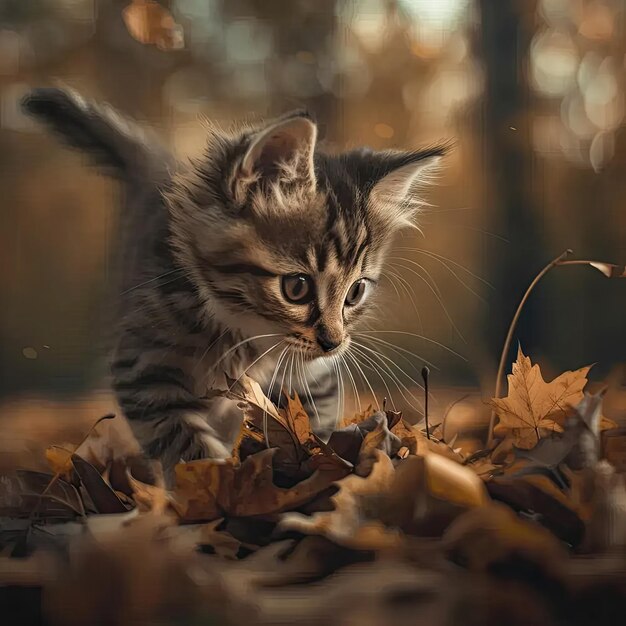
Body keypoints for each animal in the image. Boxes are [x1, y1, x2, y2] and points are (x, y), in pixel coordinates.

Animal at [23, 88, 444, 472]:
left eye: (355, 292)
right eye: (297, 288)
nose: (333, 343)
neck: (245, 341)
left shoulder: (313, 382)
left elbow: (310, 431)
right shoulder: (144, 369)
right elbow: (189, 449)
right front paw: (218, 491)